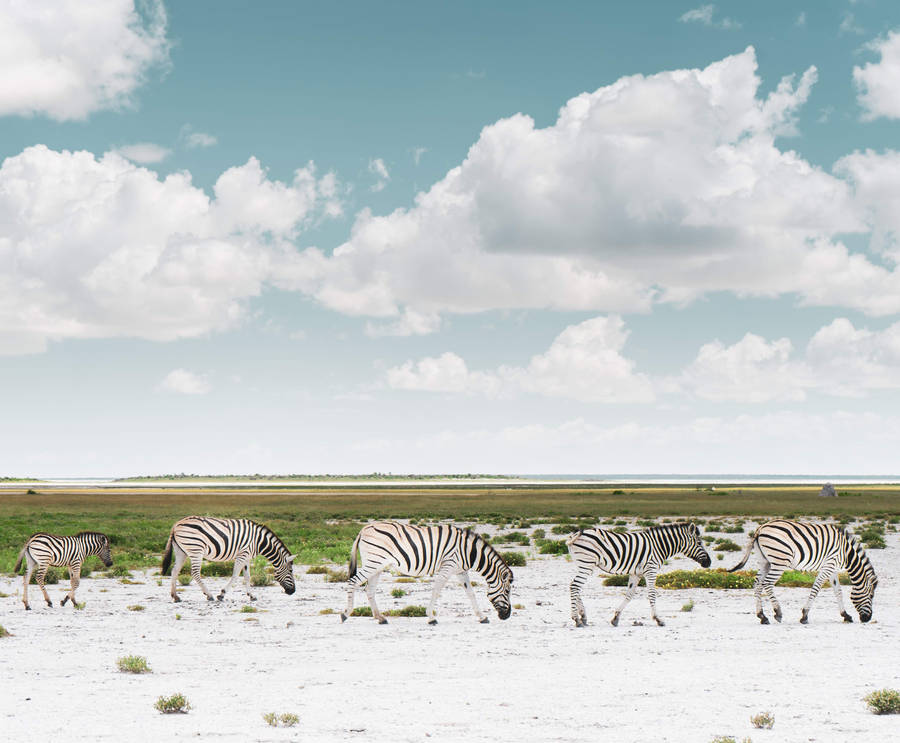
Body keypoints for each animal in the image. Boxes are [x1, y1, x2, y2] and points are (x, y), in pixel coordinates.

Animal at [160, 516, 296, 602]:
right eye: (291, 571)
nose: (293, 591)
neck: (259, 542)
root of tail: (176, 525)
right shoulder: (242, 554)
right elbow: (235, 575)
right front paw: (221, 594)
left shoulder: (247, 557)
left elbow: (247, 576)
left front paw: (251, 596)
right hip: (196, 550)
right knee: (195, 573)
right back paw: (209, 595)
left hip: (181, 551)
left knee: (174, 571)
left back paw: (175, 596)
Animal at [340, 521, 514, 625]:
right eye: (507, 591)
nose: (507, 616)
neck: (469, 551)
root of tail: (364, 529)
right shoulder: (448, 566)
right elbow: (436, 591)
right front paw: (431, 617)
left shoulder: (460, 571)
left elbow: (470, 593)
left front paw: (482, 617)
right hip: (373, 563)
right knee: (353, 582)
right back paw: (345, 614)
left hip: (377, 565)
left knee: (369, 589)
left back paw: (380, 618)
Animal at [567, 522, 711, 627]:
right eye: (699, 543)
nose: (709, 562)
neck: (659, 546)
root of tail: (578, 533)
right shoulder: (651, 570)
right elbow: (652, 594)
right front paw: (658, 619)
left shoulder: (636, 574)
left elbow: (629, 595)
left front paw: (616, 618)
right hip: (586, 563)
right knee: (575, 586)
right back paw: (577, 619)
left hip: (584, 564)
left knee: (573, 585)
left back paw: (583, 616)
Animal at [728, 519, 878, 624]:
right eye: (871, 596)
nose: (868, 619)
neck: (846, 553)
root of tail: (760, 528)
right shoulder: (829, 565)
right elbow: (816, 588)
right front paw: (804, 615)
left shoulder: (832, 568)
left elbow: (838, 591)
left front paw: (845, 615)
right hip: (780, 561)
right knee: (767, 583)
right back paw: (778, 612)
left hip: (765, 562)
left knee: (757, 584)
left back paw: (762, 616)